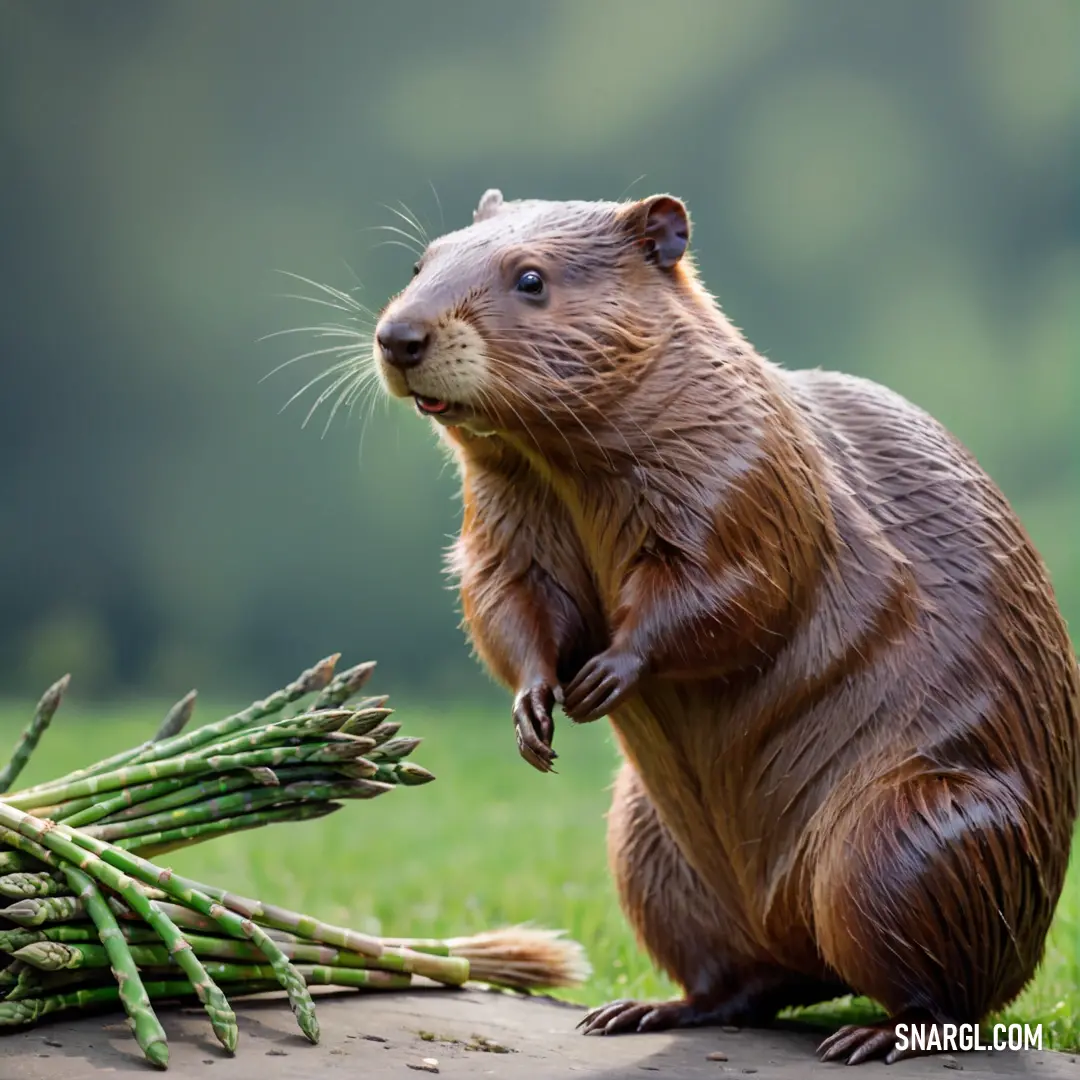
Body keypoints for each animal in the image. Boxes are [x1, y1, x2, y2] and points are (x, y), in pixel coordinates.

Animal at [371, 187, 1080, 1062]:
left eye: (530, 277)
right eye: (421, 261)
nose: (399, 337)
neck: (569, 473)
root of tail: (799, 939)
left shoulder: (747, 473)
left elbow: (738, 589)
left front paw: (603, 678)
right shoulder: (506, 511)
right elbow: (503, 599)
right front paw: (535, 716)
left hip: (902, 843)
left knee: (951, 1000)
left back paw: (873, 1037)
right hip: (649, 850)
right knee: (740, 985)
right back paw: (637, 1011)